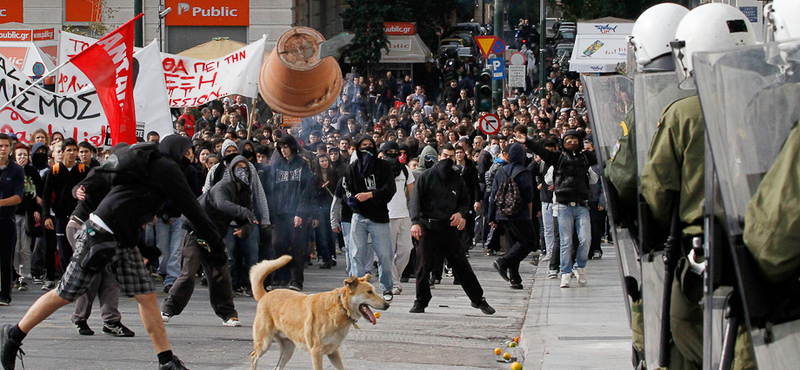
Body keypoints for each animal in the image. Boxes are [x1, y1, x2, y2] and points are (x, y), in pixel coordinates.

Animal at [248, 256, 390, 368]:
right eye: (369, 292)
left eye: (374, 291)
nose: (387, 305)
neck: (341, 307)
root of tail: (265, 294)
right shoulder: (316, 353)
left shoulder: (333, 351)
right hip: (264, 343)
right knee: (253, 356)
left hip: (288, 348)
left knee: (277, 367)